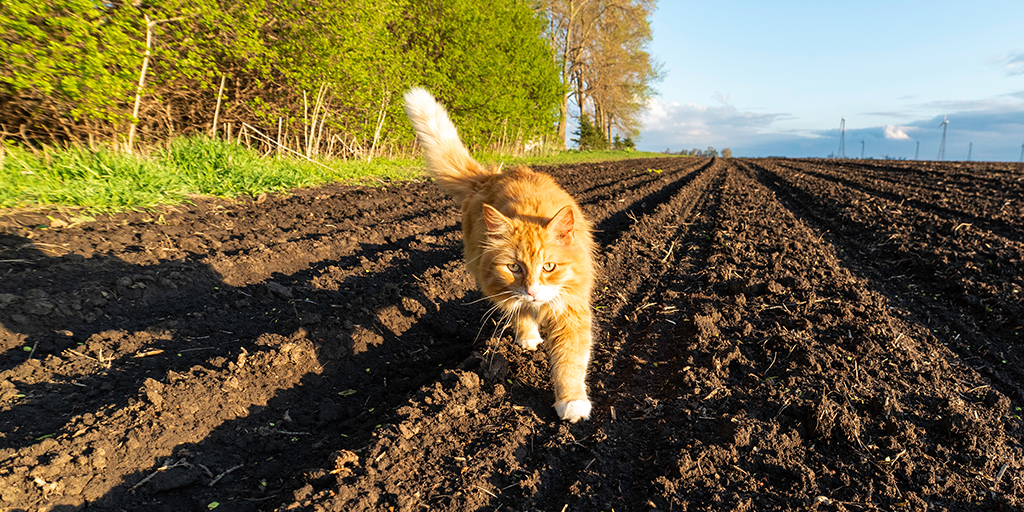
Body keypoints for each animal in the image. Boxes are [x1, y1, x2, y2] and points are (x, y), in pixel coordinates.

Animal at [403, 89, 598, 423]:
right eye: (514, 267)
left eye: (549, 266)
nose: (532, 291)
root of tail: (489, 178)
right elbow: (524, 316)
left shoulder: (571, 309)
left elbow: (570, 361)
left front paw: (572, 400)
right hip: (492, 284)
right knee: (517, 312)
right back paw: (529, 336)